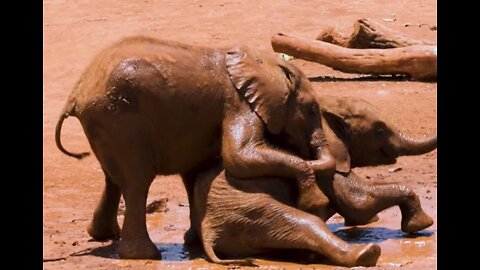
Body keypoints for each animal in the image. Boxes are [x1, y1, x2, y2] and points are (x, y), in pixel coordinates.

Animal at [55, 36, 338, 260]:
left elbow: (196, 172)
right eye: (312, 109)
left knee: (114, 178)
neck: (269, 63)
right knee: (137, 182)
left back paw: (104, 235)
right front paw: (314, 200)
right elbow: (239, 157)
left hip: (107, 124)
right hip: (121, 120)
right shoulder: (237, 103)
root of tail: (76, 94)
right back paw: (146, 255)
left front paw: (193, 241)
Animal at [189, 94, 436, 266]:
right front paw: (421, 225)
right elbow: (358, 204)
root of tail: (208, 233)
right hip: (244, 207)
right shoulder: (326, 166)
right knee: (305, 222)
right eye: (380, 130)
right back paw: (366, 254)